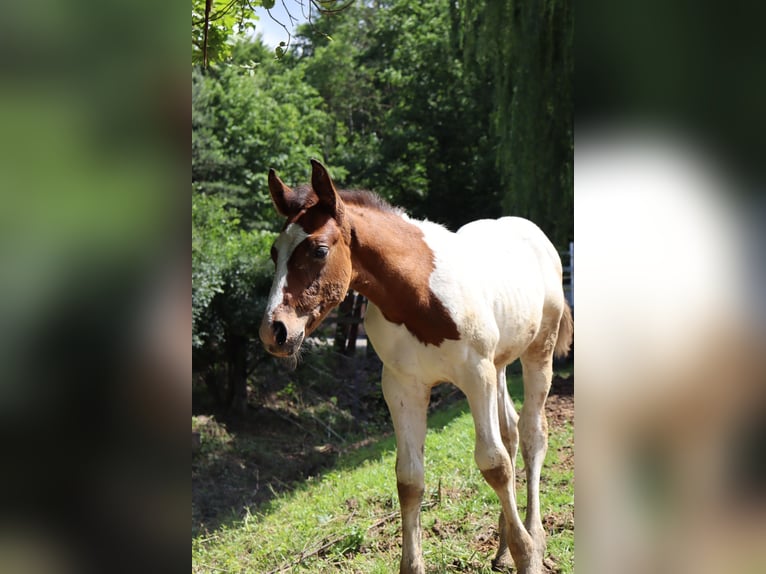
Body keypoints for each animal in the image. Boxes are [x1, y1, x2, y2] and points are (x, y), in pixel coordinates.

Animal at [260, 160, 572, 572]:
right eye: (274, 252)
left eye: (318, 250)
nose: (273, 331)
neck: (417, 295)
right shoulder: (402, 387)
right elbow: (409, 479)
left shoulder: (476, 376)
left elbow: (494, 465)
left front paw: (528, 554)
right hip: (501, 364)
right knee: (511, 431)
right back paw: (502, 548)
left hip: (538, 351)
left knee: (533, 434)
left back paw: (533, 537)